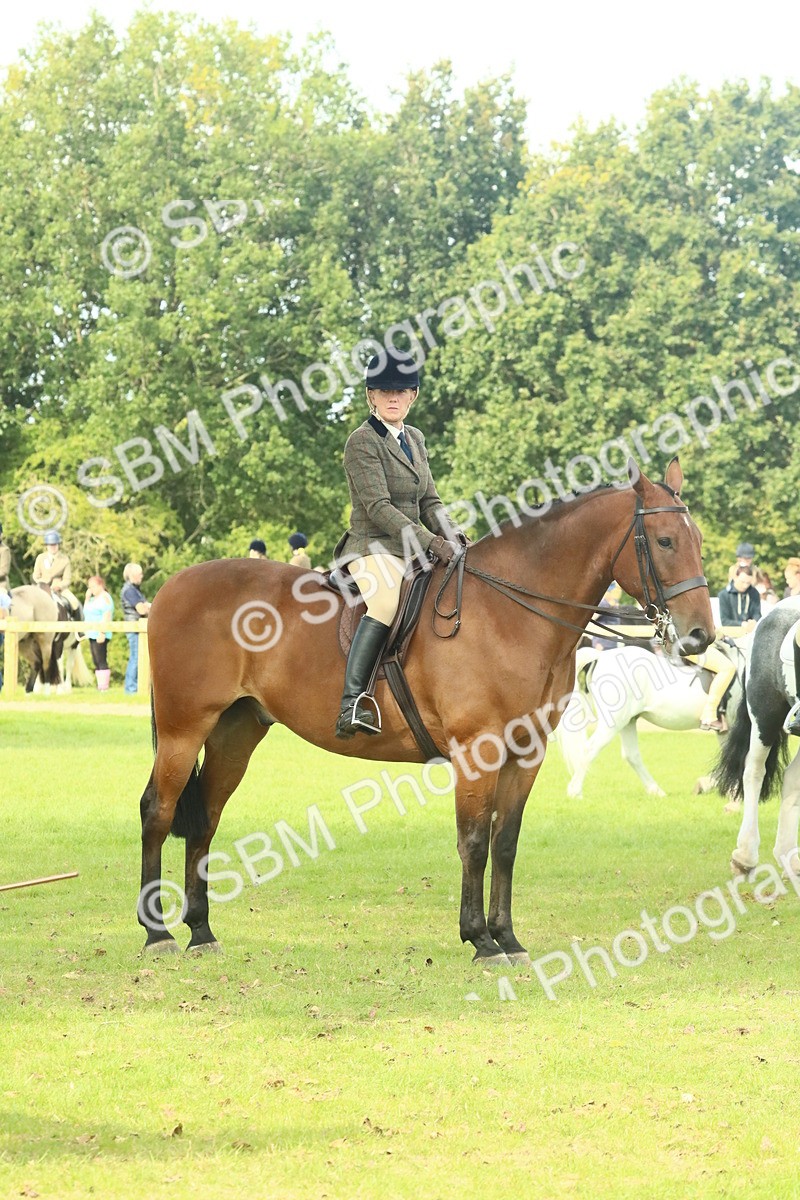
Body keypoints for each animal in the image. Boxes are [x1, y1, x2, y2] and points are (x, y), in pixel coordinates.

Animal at [137, 457, 714, 964]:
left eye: (699, 542)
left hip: (235, 733)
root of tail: (171, 588)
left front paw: (509, 939)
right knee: (158, 813)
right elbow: (474, 842)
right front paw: (480, 941)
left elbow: (505, 843)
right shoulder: (478, 751)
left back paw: (201, 932)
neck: (510, 615)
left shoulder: (526, 753)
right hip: (185, 730)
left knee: (206, 820)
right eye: (665, 541)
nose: (700, 635)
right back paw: (157, 934)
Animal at [555, 637, 749, 798]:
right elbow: (738, 757)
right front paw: (733, 791)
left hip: (628, 721)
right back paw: (575, 791)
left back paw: (655, 790)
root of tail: (602, 655)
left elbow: (728, 757)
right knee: (590, 749)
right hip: (614, 723)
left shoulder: (725, 730)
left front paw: (714, 786)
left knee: (631, 755)